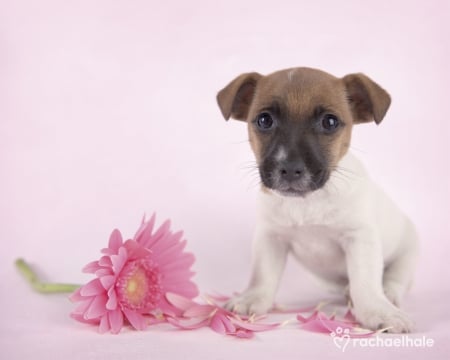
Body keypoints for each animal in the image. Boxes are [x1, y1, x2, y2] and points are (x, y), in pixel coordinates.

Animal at [215, 67, 418, 332]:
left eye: (329, 122)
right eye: (264, 120)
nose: (290, 169)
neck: (307, 202)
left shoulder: (359, 239)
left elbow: (365, 282)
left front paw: (378, 310)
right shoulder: (271, 237)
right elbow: (263, 274)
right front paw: (253, 298)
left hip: (408, 252)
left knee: (395, 278)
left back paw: (388, 294)